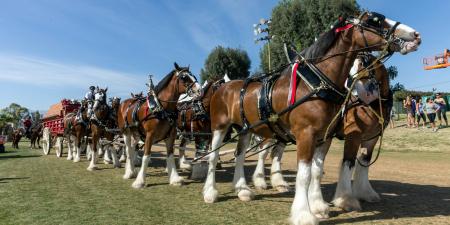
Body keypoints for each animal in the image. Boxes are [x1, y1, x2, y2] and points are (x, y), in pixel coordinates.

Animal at [202, 12, 420, 225]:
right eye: (374, 20)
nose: (416, 35)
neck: (316, 85)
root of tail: (224, 87)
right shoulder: (317, 134)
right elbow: (308, 174)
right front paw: (307, 213)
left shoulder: (330, 136)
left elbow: (320, 169)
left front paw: (319, 205)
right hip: (221, 127)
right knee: (215, 156)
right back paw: (212, 192)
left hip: (249, 129)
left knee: (241, 156)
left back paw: (243, 190)